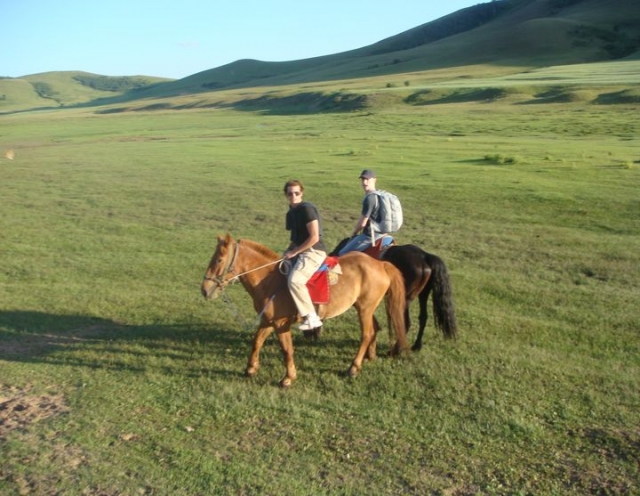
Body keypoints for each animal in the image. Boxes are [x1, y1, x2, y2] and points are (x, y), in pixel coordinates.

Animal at [201, 233, 409, 388]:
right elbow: (257, 341)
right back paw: (368, 357)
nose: (204, 289)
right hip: (364, 308)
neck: (269, 281)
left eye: (219, 259)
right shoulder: (267, 321)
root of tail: (381, 264)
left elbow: (287, 349)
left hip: (365, 309)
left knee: (366, 334)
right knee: (374, 329)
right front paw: (251, 368)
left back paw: (353, 367)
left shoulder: (281, 324)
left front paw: (288, 378)